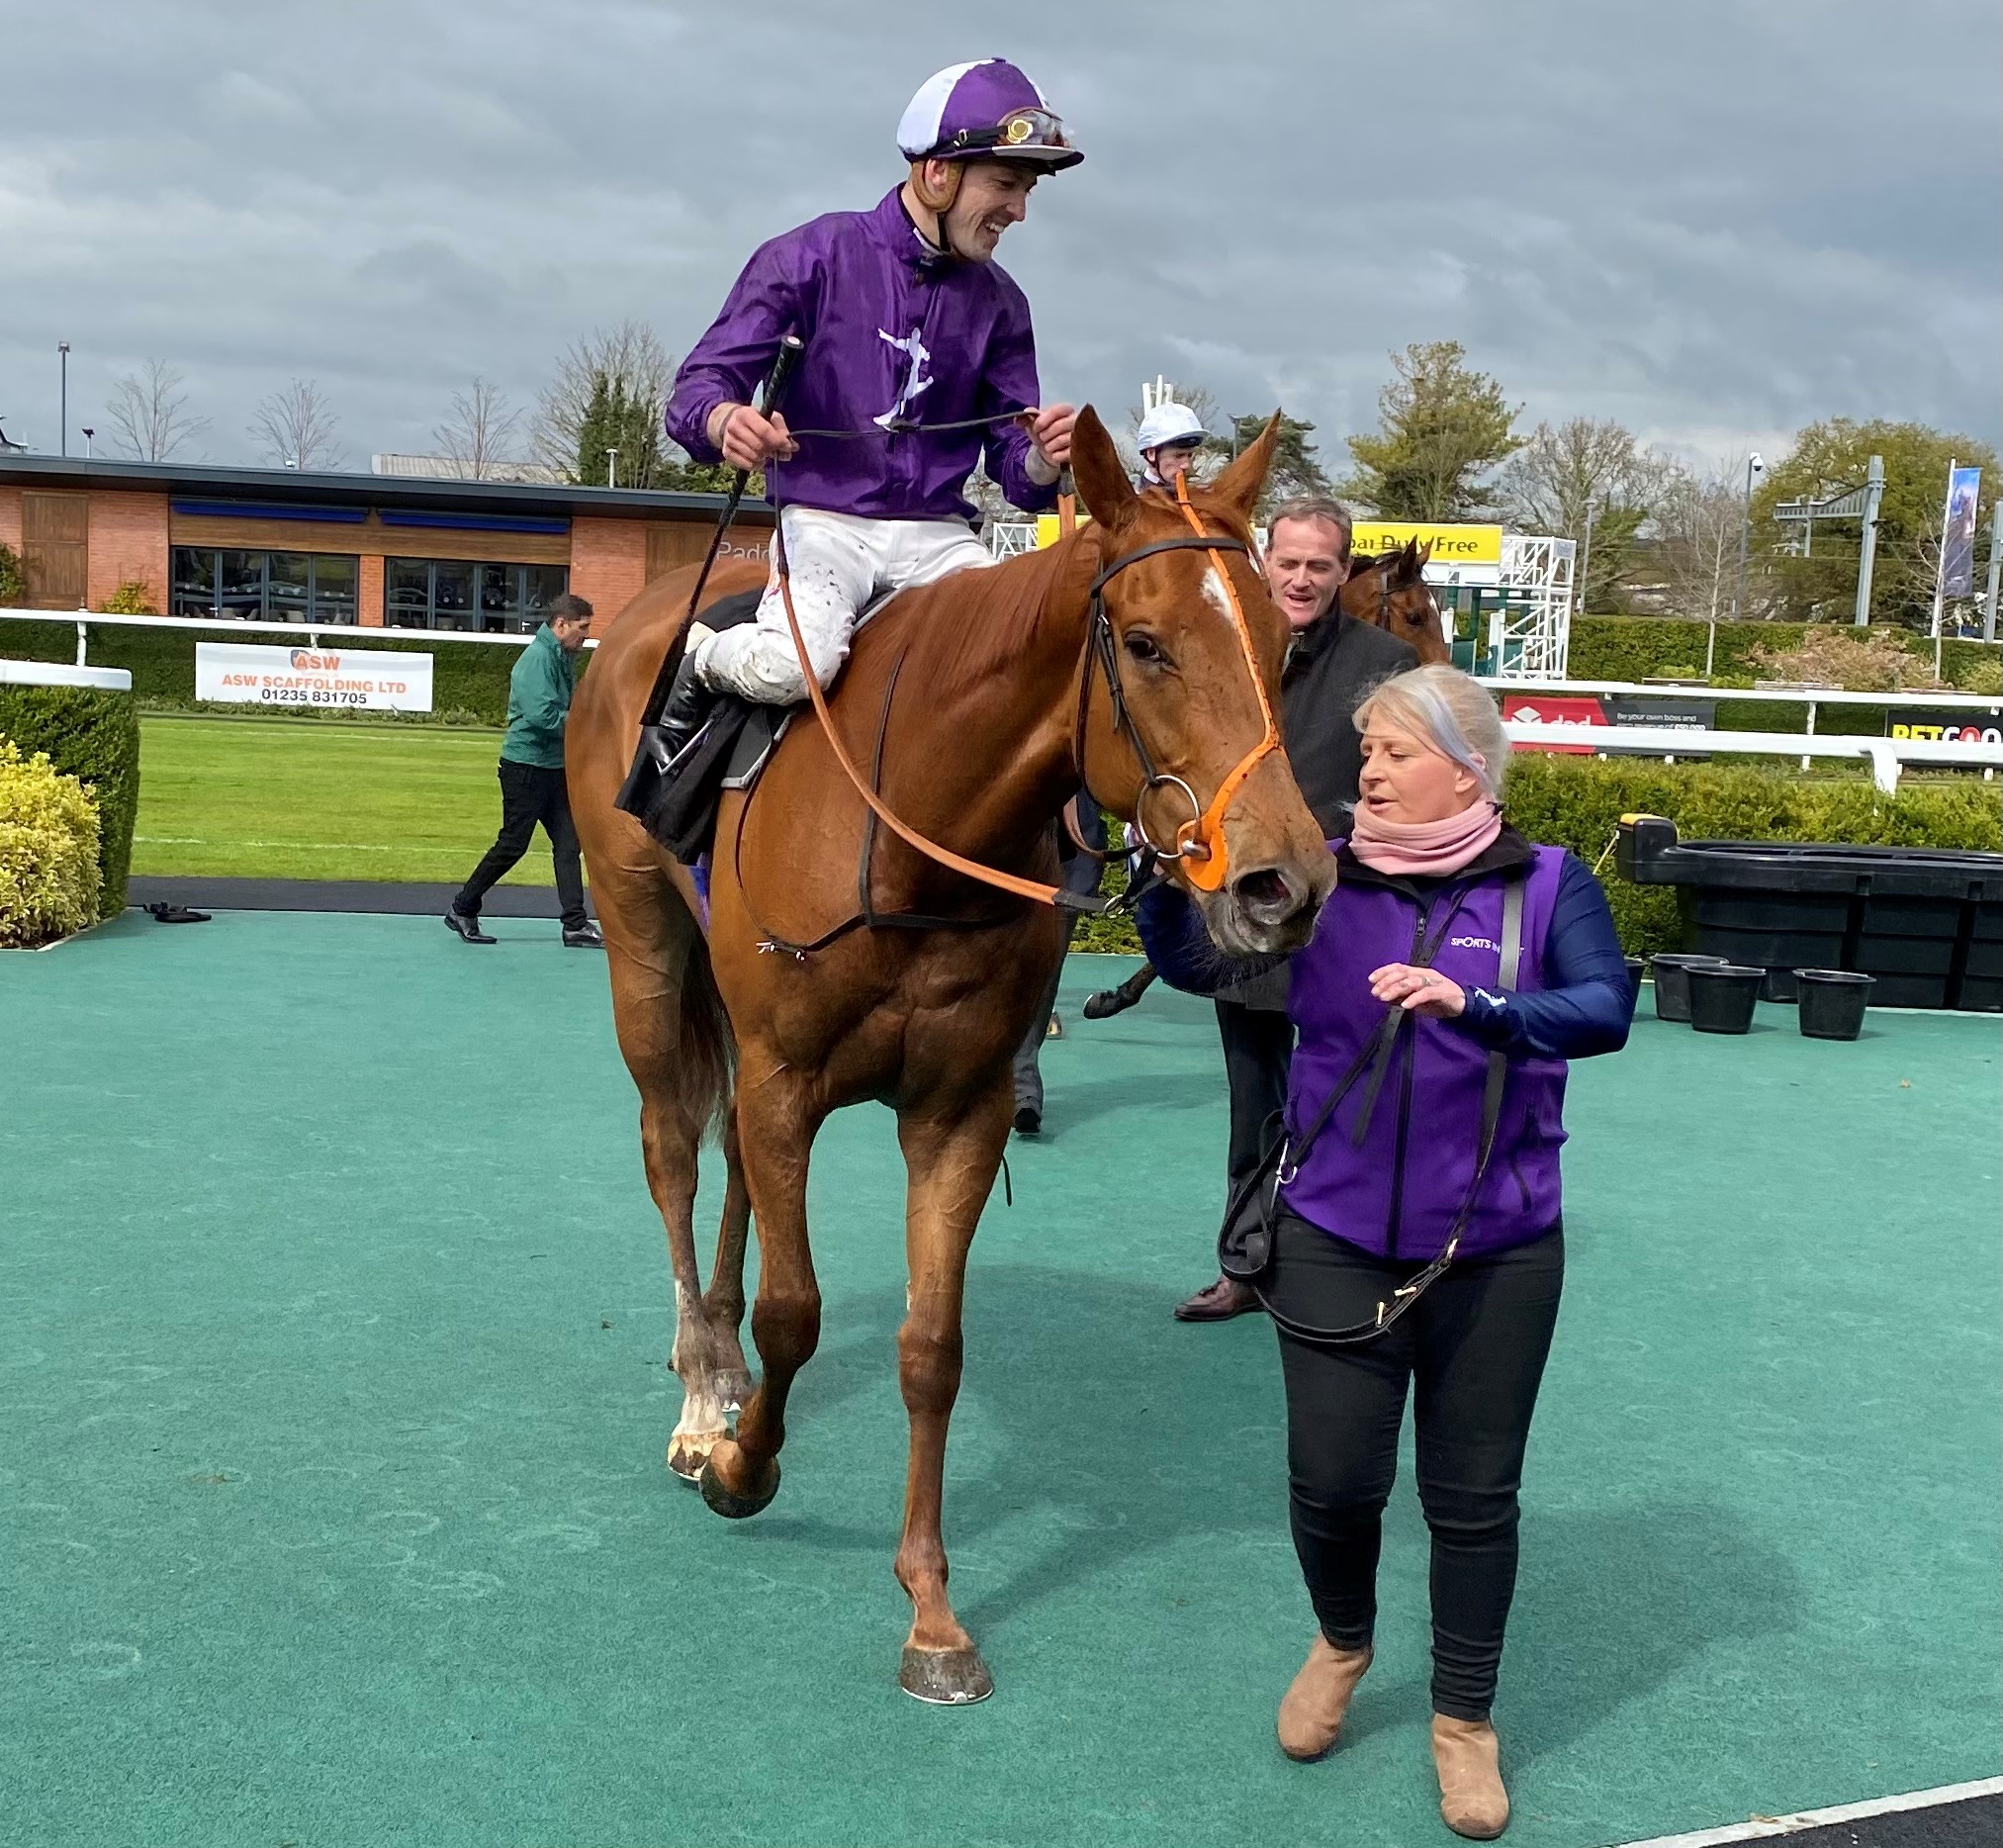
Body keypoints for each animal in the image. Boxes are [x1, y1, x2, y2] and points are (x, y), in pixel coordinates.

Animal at [565, 407, 1337, 1700]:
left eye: (1283, 645)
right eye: (1145, 644)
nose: (1289, 880)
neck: (913, 834)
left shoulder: (957, 1105)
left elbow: (931, 1346)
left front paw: (931, 1610)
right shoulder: (788, 1080)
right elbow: (796, 1310)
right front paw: (744, 1468)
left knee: (730, 1174)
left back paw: (719, 1369)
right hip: (648, 957)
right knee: (672, 1151)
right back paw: (701, 1396)